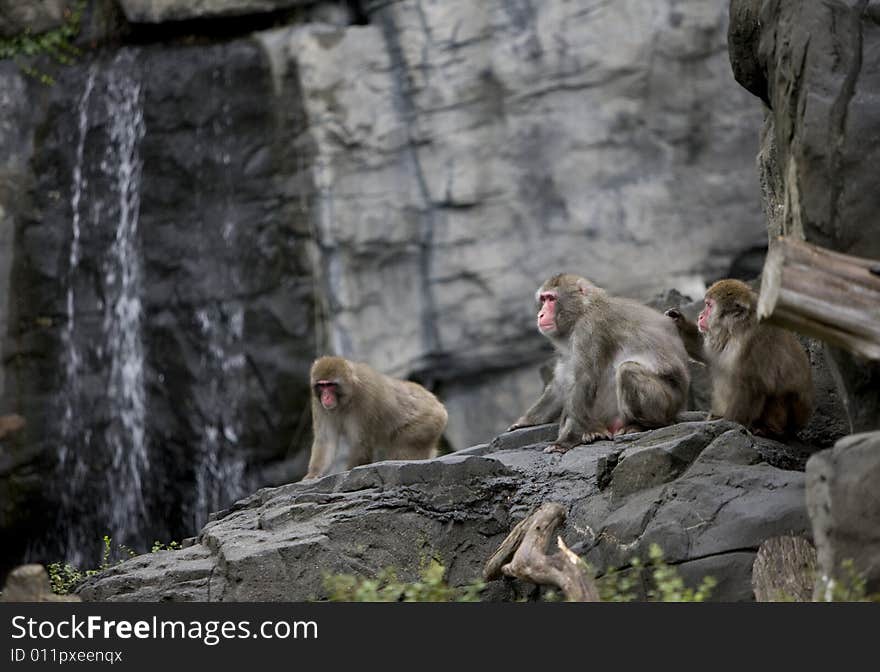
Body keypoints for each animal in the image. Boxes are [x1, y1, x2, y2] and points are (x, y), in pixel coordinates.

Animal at [308, 354, 446, 480]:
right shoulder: (318, 404)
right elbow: (326, 440)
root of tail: (439, 406)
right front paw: (312, 475)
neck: (346, 399)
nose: (325, 397)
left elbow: (361, 443)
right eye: (322, 385)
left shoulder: (366, 398)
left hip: (426, 425)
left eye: (330, 385)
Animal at [508, 272, 696, 452]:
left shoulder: (588, 329)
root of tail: (681, 403)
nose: (540, 314)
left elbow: (584, 381)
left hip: (668, 403)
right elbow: (562, 382)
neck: (583, 309)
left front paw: (567, 440)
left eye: (551, 299)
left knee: (628, 370)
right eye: (543, 299)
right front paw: (526, 420)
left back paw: (641, 425)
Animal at [664, 278, 816, 436]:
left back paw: (769, 429)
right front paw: (677, 321)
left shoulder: (756, 341)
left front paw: (729, 422)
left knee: (775, 389)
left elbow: (752, 384)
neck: (737, 329)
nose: (700, 316)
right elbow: (705, 352)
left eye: (709, 305)